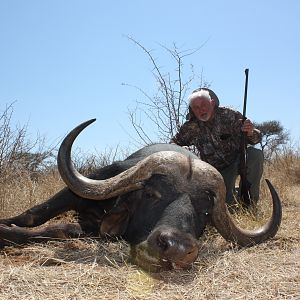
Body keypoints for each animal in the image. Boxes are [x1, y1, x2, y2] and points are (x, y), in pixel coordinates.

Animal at [0, 119, 282, 272]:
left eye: (204, 211)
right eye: (151, 194)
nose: (177, 248)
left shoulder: (93, 230)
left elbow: (61, 229)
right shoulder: (80, 190)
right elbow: (34, 213)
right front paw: (6, 226)